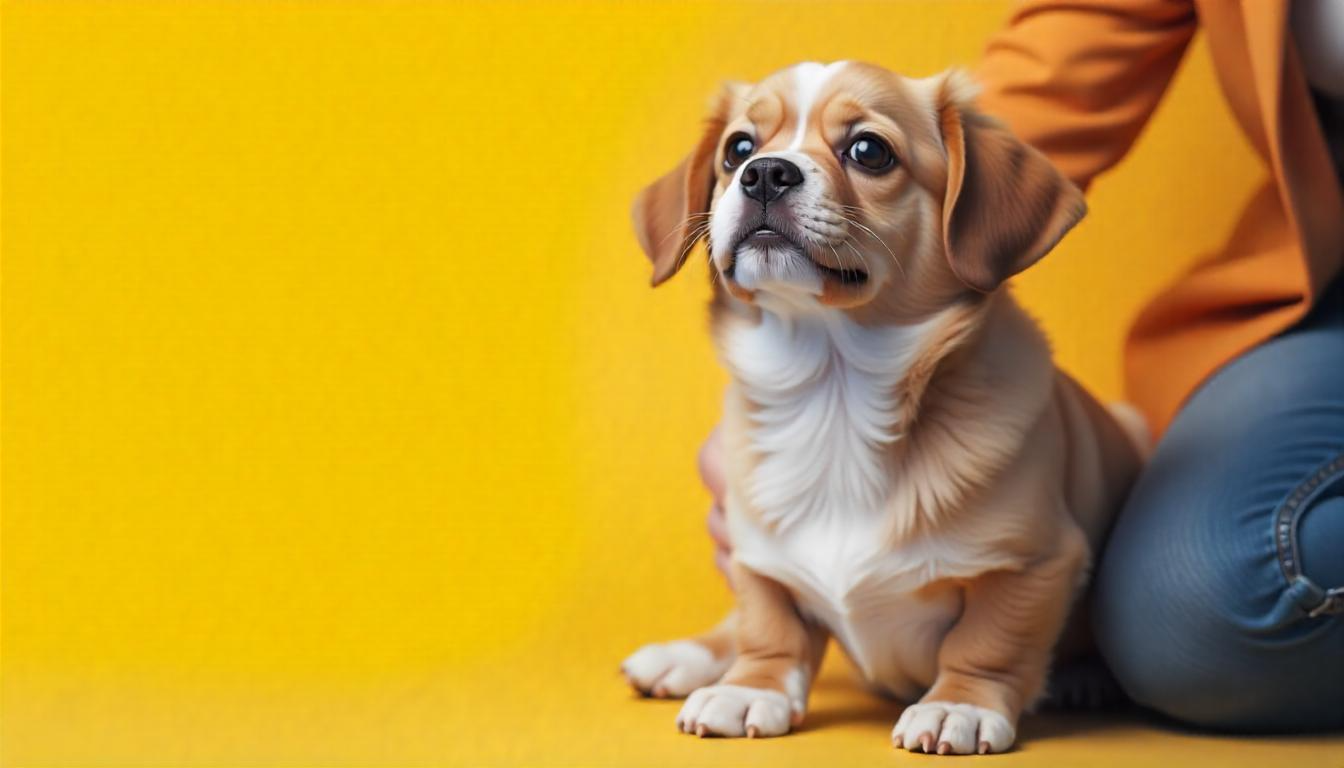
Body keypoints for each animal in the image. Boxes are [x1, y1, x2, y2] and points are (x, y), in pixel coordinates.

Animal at [618, 61, 1145, 758]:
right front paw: (750, 688)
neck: (833, 397)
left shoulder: (1035, 563)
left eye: (869, 151)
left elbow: (989, 642)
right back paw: (688, 657)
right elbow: (768, 624)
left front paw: (957, 706)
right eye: (737, 149)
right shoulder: (756, 555)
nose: (765, 172)